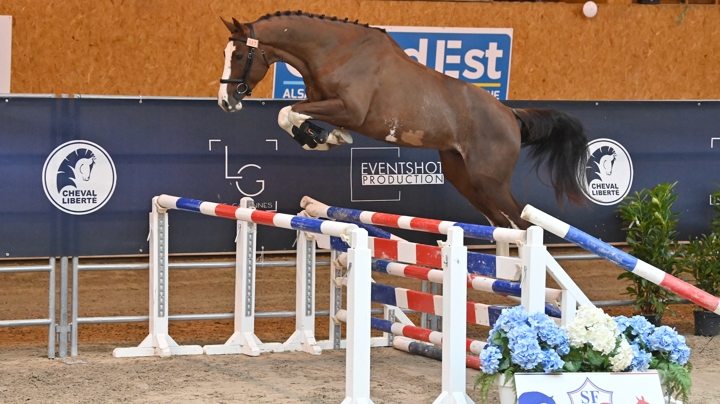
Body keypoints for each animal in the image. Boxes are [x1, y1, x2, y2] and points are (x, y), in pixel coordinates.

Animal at [217, 11, 588, 229]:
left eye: (239, 54)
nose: (225, 101)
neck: (335, 51)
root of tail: (510, 115)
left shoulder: (349, 109)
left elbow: (288, 111)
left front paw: (321, 139)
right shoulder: (323, 102)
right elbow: (289, 113)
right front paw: (324, 137)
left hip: (490, 180)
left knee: (521, 224)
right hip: (463, 177)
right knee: (501, 223)